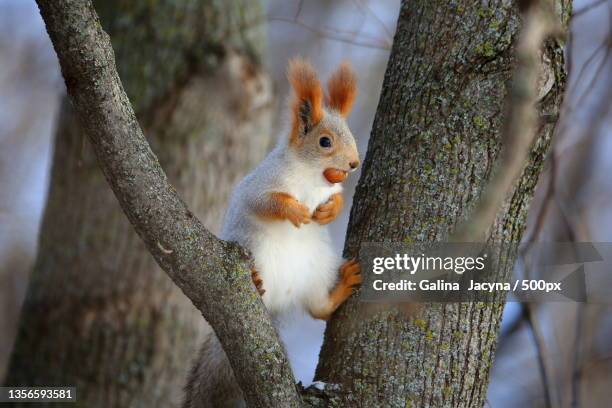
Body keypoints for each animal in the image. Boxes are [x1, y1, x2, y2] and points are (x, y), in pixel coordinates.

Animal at [183, 58, 364, 408]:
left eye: (350, 134)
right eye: (325, 141)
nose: (353, 163)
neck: (311, 178)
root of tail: (278, 302)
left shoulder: (329, 189)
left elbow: (336, 199)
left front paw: (327, 211)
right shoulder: (262, 183)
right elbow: (267, 202)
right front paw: (295, 211)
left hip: (318, 268)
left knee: (318, 308)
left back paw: (340, 287)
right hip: (253, 248)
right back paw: (254, 279)